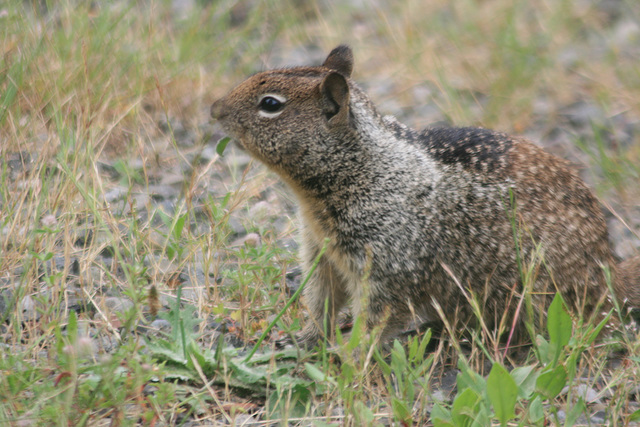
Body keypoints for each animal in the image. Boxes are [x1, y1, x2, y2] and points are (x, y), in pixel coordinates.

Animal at [212, 45, 640, 346]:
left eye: (270, 104)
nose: (214, 110)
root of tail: (609, 275)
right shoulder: (321, 253)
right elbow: (321, 300)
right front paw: (305, 338)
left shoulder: (387, 260)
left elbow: (380, 313)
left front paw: (348, 353)